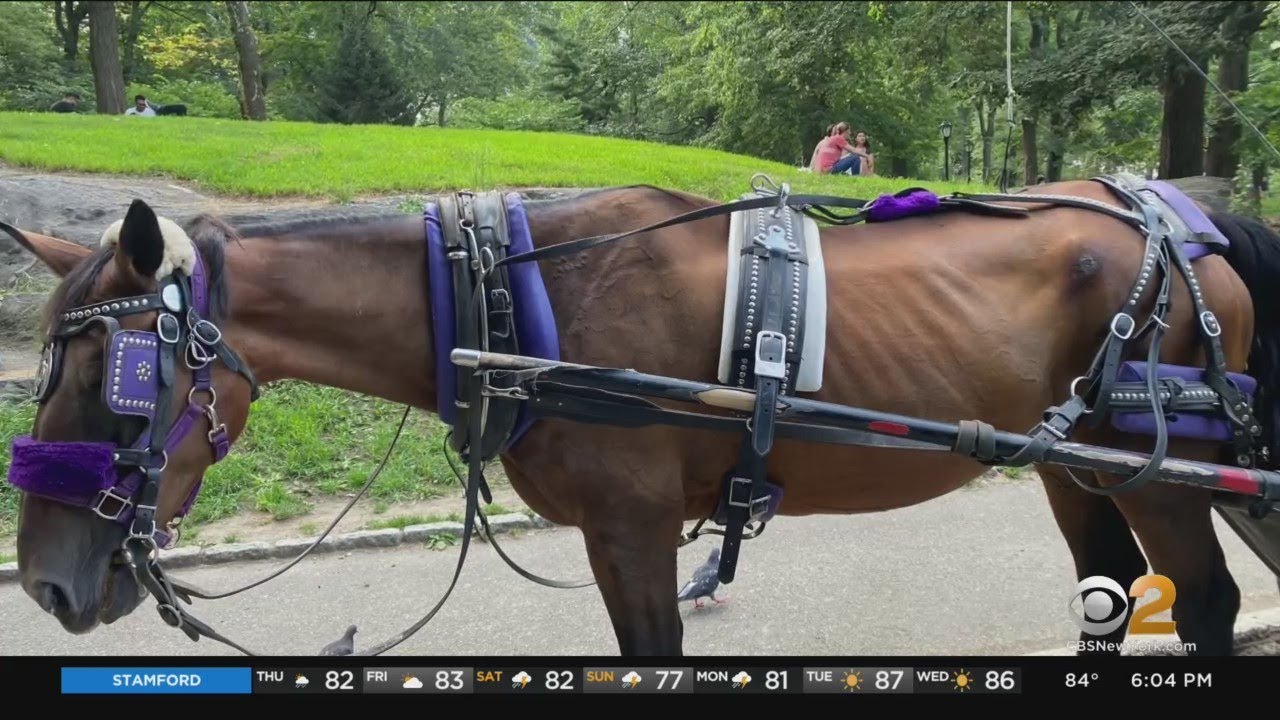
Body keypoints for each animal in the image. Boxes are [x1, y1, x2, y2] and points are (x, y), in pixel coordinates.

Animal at [6, 177, 1280, 657]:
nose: (50, 586)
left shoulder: (632, 528)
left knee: (1207, 601)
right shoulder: (617, 541)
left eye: (112, 373)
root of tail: (1176, 214)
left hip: (1158, 466)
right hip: (1074, 466)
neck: (517, 307)